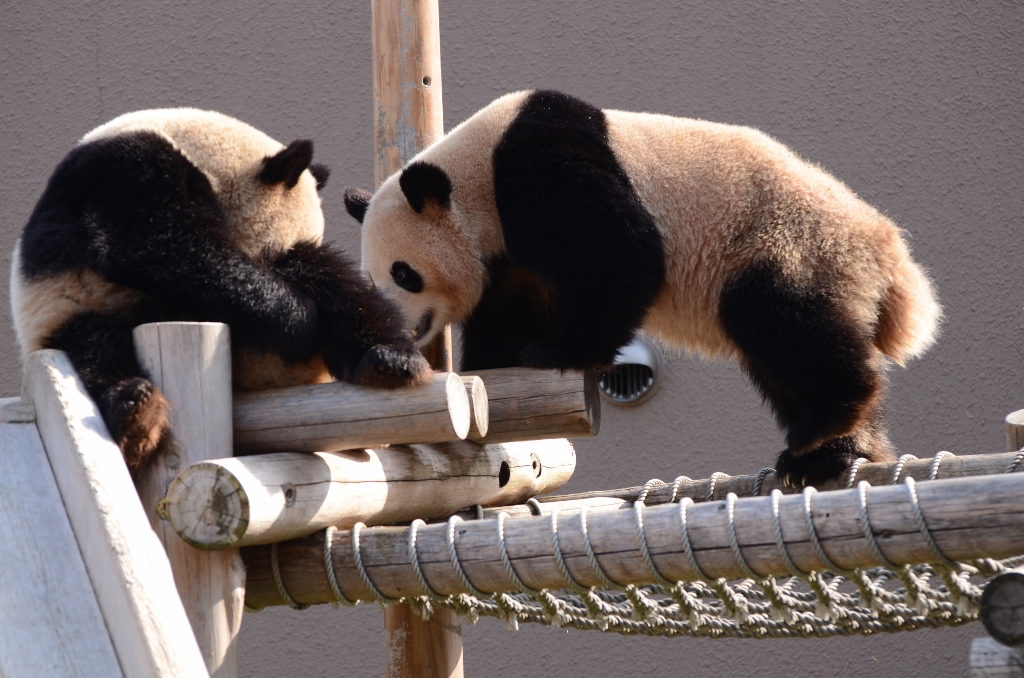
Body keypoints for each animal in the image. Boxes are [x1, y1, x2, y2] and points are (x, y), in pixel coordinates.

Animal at [12, 109, 428, 475]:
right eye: (273, 250)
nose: (284, 265)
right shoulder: (123, 173)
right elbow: (159, 241)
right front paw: (297, 320)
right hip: (75, 312)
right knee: (97, 353)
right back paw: (135, 414)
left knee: (341, 288)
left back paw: (389, 360)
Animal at [346, 90, 942, 485]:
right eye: (372, 279)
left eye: (403, 273)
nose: (403, 327)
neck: (474, 173)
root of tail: (888, 254)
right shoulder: (507, 258)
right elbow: (504, 316)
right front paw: (491, 370)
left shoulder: (537, 166)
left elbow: (622, 254)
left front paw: (559, 350)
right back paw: (832, 453)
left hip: (785, 242)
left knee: (781, 322)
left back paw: (829, 417)